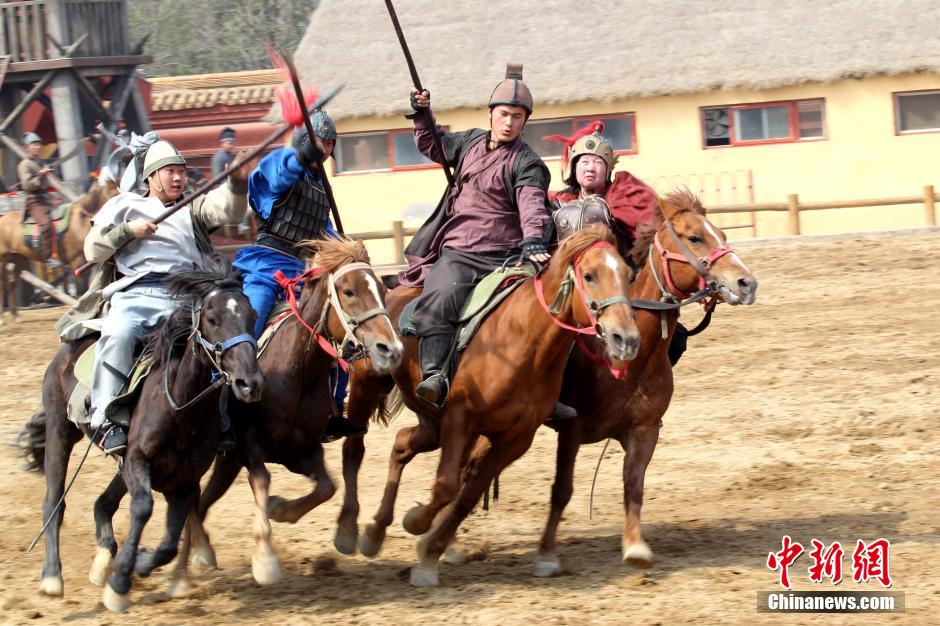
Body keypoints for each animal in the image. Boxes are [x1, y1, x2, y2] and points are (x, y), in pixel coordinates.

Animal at [0, 178, 121, 320]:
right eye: (115, 194)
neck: (82, 220)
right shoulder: (77, 261)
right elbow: (82, 288)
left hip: (18, 258)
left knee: (11, 283)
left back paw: (15, 315)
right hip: (2, 259)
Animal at [19, 260, 268, 608]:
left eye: (252, 316)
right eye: (213, 319)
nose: (250, 383)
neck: (180, 408)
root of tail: (67, 351)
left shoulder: (184, 480)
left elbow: (170, 542)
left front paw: (137, 563)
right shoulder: (137, 460)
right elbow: (142, 508)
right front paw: (120, 581)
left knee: (102, 503)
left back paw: (103, 563)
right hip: (60, 430)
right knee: (54, 502)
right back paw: (52, 577)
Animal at [182, 236, 406, 588]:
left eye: (382, 291)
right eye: (349, 291)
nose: (392, 350)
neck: (297, 371)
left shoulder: (304, 450)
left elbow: (327, 487)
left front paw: (280, 509)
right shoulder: (249, 443)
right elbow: (262, 479)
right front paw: (265, 560)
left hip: (228, 462)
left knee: (204, 499)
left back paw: (198, 548)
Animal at [342, 224, 644, 584]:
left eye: (628, 274)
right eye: (589, 275)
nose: (626, 339)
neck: (523, 342)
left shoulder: (515, 438)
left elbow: (469, 493)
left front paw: (429, 550)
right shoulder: (460, 417)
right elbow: (447, 485)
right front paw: (417, 525)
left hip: (432, 422)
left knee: (402, 444)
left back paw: (378, 532)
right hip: (369, 385)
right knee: (354, 448)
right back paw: (352, 532)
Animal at [524, 190, 760, 576]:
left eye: (722, 235)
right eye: (695, 238)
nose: (746, 283)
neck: (623, 360)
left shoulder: (645, 430)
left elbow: (633, 487)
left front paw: (635, 546)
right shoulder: (571, 430)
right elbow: (562, 489)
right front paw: (546, 555)